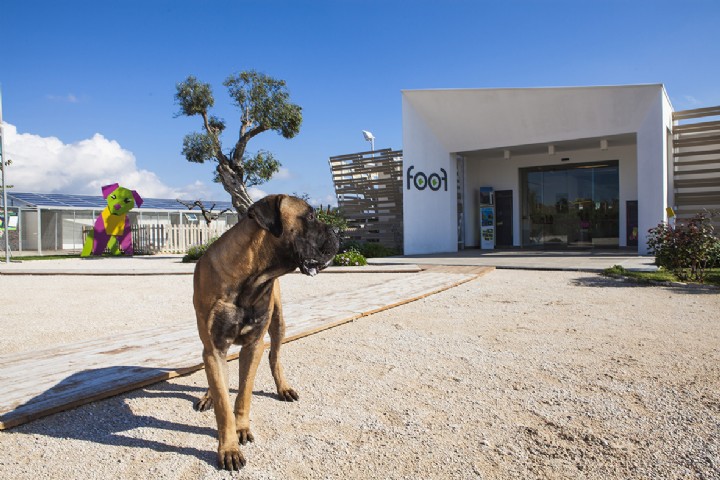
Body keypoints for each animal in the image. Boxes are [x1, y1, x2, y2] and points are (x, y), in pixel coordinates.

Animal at [191, 194, 338, 468]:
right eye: (311, 216)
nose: (337, 231)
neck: (251, 278)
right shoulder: (215, 348)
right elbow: (223, 401)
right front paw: (229, 447)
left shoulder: (254, 345)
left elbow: (244, 393)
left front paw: (241, 428)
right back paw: (208, 395)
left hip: (278, 324)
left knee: (274, 357)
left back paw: (283, 387)